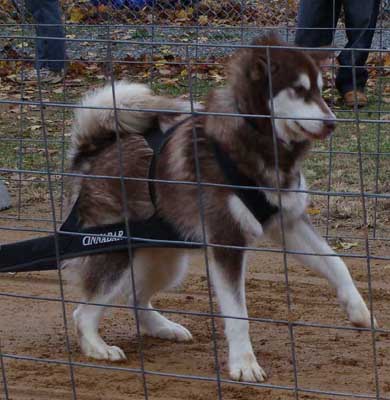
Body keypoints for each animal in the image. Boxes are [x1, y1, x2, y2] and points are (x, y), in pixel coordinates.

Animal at [64, 36, 374, 382]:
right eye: (298, 90)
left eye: (320, 90)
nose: (333, 123)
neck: (257, 146)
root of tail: (95, 151)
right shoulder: (228, 241)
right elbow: (238, 314)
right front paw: (244, 363)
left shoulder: (289, 224)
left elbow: (336, 263)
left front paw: (358, 308)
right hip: (118, 254)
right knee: (83, 312)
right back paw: (97, 348)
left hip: (167, 261)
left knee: (134, 297)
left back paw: (164, 328)